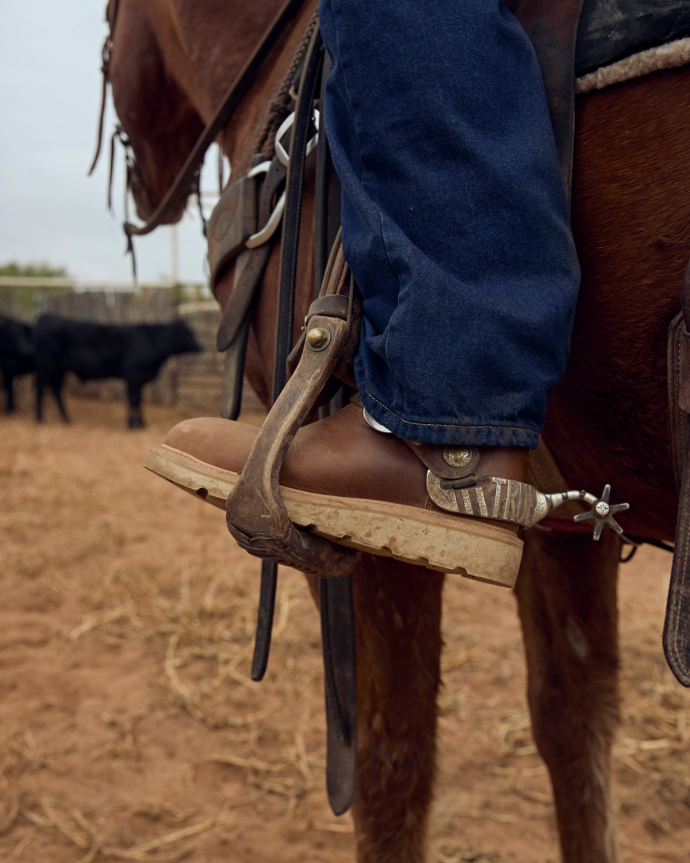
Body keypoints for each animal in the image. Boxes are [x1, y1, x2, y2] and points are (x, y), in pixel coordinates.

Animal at [34, 314, 202, 428]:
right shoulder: (132, 376)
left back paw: (66, 419)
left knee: (56, 391)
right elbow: (133, 399)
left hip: (59, 370)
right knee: (40, 388)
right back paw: (40, 419)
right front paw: (131, 425)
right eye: (188, 332)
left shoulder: (139, 379)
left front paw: (141, 424)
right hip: (46, 367)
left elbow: (138, 400)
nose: (201, 346)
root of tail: (47, 316)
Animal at [102, 3, 688, 860]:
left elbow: (391, 763)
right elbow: (575, 719)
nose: (148, 191)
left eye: (110, 40)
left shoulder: (373, 563)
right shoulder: (566, 526)